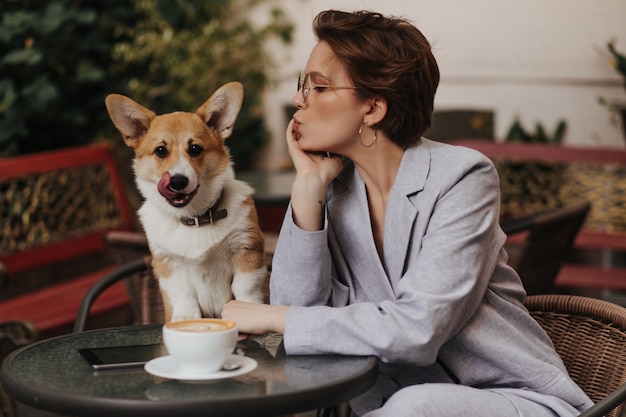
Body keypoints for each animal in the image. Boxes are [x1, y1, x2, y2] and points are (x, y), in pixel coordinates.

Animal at [105, 82, 266, 322]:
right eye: (160, 151)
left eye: (195, 148)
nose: (177, 181)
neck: (195, 218)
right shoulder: (167, 263)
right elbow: (183, 295)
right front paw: (186, 320)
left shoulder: (247, 249)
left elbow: (246, 289)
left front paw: (249, 312)